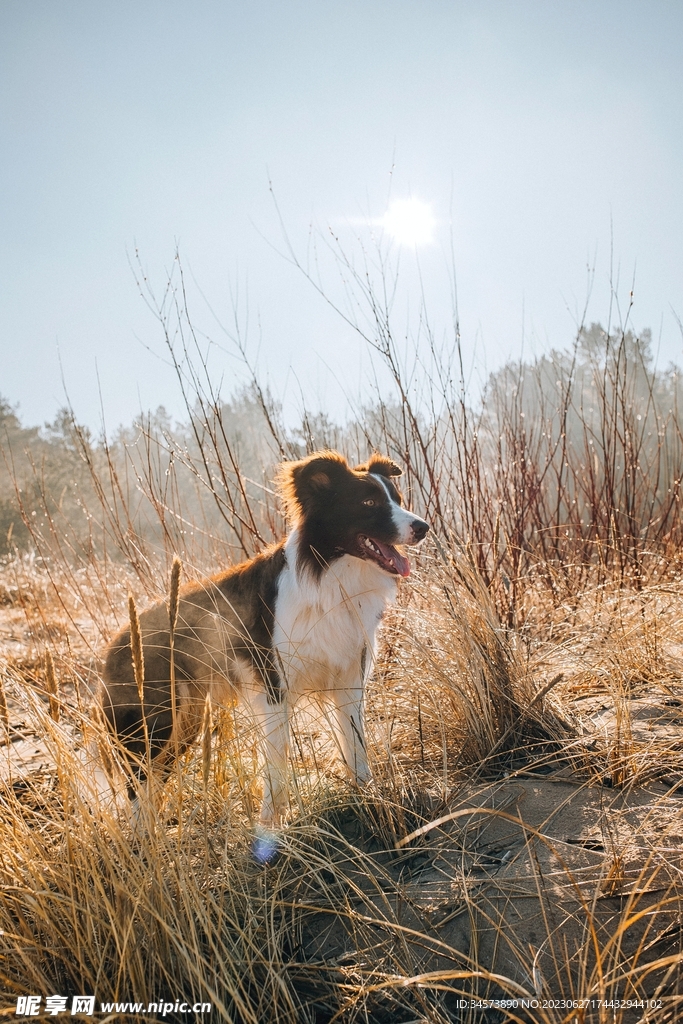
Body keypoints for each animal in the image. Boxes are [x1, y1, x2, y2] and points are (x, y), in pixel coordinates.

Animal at [97, 448, 428, 823]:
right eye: (369, 502)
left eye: (397, 499)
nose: (423, 528)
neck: (329, 577)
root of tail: (116, 641)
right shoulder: (275, 687)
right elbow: (277, 761)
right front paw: (271, 823)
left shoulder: (349, 680)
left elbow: (355, 747)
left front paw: (368, 796)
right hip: (154, 721)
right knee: (137, 784)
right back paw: (146, 837)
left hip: (185, 722)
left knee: (150, 782)